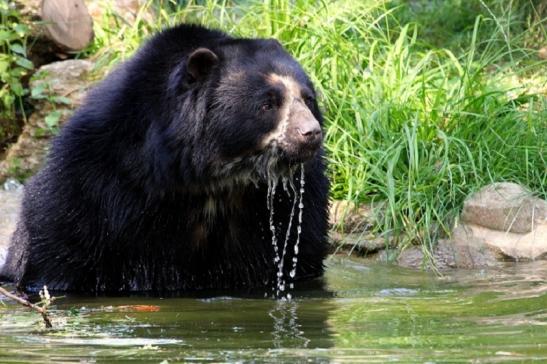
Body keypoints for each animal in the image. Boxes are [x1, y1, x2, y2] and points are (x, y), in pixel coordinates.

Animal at [1, 24, 330, 294]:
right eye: (267, 104)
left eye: (308, 99)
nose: (310, 133)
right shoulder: (93, 178)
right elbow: (63, 241)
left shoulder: (292, 200)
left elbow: (300, 253)